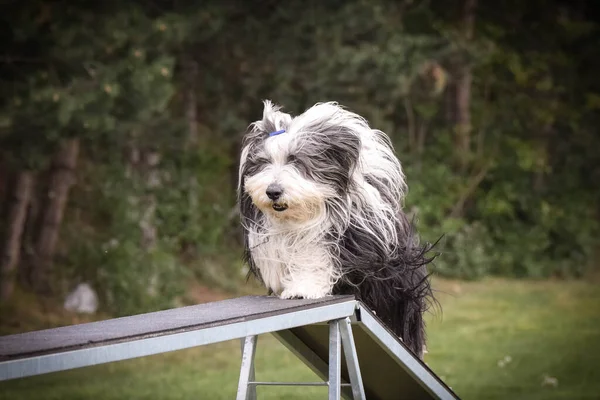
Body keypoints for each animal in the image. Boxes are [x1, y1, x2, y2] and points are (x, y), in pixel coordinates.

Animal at [236, 101, 436, 358]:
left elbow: (315, 259)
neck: (298, 218)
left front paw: (302, 288)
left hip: (399, 282)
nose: (273, 191)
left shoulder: (342, 241)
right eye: (263, 162)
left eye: (296, 160)